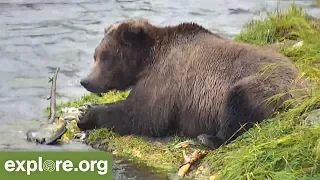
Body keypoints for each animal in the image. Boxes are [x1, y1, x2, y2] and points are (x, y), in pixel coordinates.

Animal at [78, 18, 308, 148]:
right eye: (95, 55)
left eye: (106, 57)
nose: (86, 81)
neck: (146, 60)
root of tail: (306, 89)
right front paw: (83, 110)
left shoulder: (165, 79)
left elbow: (142, 115)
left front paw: (87, 114)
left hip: (265, 86)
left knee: (239, 103)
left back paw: (209, 138)